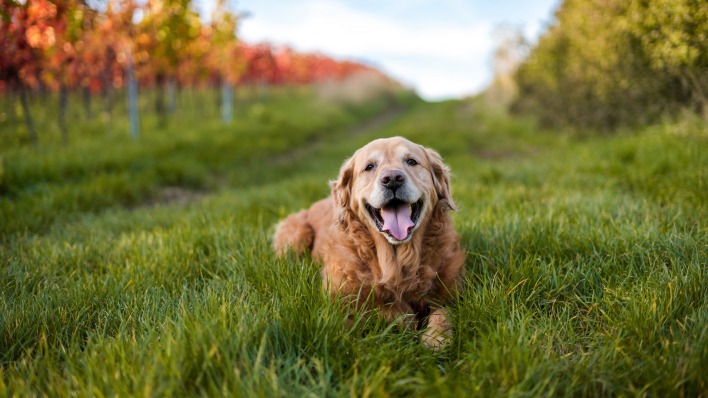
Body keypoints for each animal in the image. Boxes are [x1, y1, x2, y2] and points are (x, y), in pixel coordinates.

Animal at [272, 137, 464, 348]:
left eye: (412, 161)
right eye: (370, 167)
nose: (393, 179)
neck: (394, 264)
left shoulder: (451, 293)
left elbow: (443, 311)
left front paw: (436, 338)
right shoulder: (339, 302)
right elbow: (363, 317)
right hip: (296, 234)